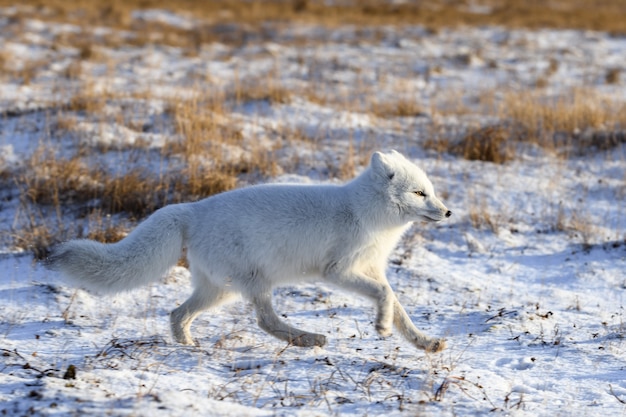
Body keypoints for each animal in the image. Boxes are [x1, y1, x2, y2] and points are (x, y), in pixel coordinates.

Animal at [47, 150, 448, 352]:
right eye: (419, 193)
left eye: (431, 190)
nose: (447, 212)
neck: (365, 213)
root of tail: (191, 210)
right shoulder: (338, 271)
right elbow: (386, 297)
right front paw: (381, 326)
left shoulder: (371, 269)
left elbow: (396, 304)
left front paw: (423, 342)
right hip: (252, 284)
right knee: (264, 320)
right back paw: (309, 340)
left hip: (217, 290)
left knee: (177, 313)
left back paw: (189, 346)